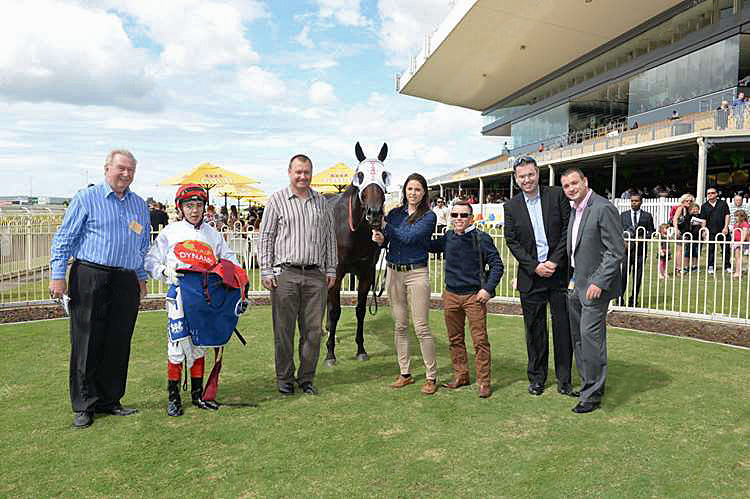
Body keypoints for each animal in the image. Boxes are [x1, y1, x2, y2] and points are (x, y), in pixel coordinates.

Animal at [324, 142, 391, 366]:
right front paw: (330, 354)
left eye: (384, 175)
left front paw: (361, 349)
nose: (374, 213)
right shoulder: (336, 274)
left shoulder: (366, 273)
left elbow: (360, 310)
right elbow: (335, 311)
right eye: (360, 175)